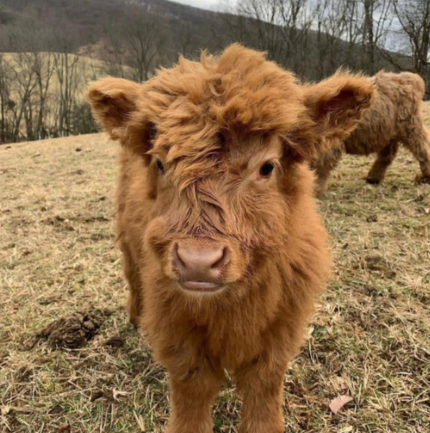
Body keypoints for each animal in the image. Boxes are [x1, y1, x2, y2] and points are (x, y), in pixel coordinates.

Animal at [87, 44, 372, 432]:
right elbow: (192, 389)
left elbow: (264, 384)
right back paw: (134, 318)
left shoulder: (281, 325)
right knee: (132, 276)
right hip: (128, 242)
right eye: (160, 163)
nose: (198, 262)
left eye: (266, 167)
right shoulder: (176, 326)